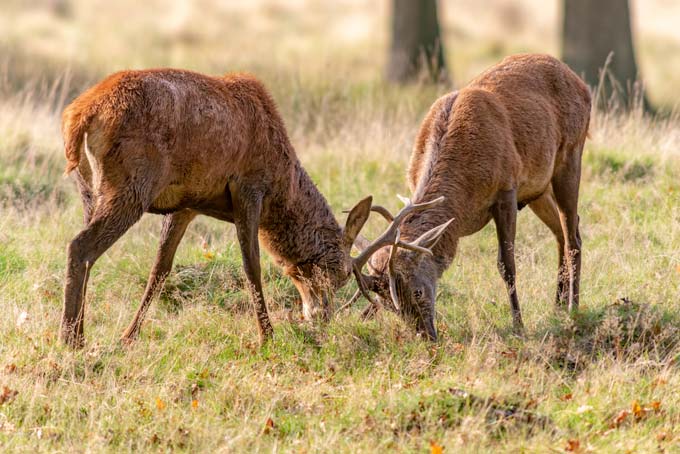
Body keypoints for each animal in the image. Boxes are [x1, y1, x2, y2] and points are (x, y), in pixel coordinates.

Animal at [59, 68, 378, 348]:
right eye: (339, 273)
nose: (321, 318)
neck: (282, 185)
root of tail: (78, 117)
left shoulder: (186, 205)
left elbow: (160, 269)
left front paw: (129, 336)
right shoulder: (248, 187)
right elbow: (253, 266)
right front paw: (267, 336)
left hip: (89, 191)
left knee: (88, 254)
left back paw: (78, 333)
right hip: (131, 186)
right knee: (80, 246)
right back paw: (71, 339)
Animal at [354, 55, 592, 340]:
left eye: (417, 291)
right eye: (390, 305)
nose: (427, 336)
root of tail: (581, 83)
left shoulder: (506, 189)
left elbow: (506, 265)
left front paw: (518, 325)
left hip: (571, 155)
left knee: (573, 235)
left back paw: (572, 308)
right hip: (538, 187)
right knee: (562, 231)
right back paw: (557, 304)